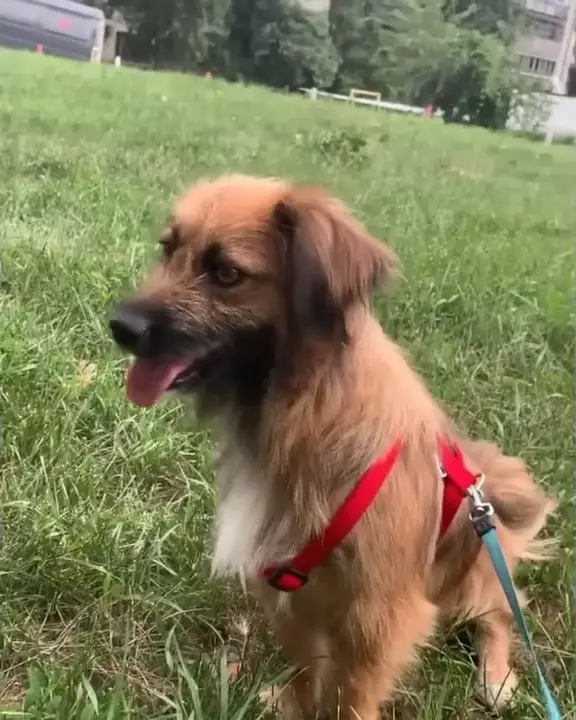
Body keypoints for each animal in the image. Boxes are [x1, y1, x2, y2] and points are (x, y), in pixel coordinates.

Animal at [109, 176, 560, 720]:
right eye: (168, 248)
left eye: (226, 273)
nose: (120, 326)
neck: (307, 407)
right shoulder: (288, 586)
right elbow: (308, 671)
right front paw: (293, 702)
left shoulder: (380, 615)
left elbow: (352, 695)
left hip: (475, 564)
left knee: (501, 611)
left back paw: (496, 675)